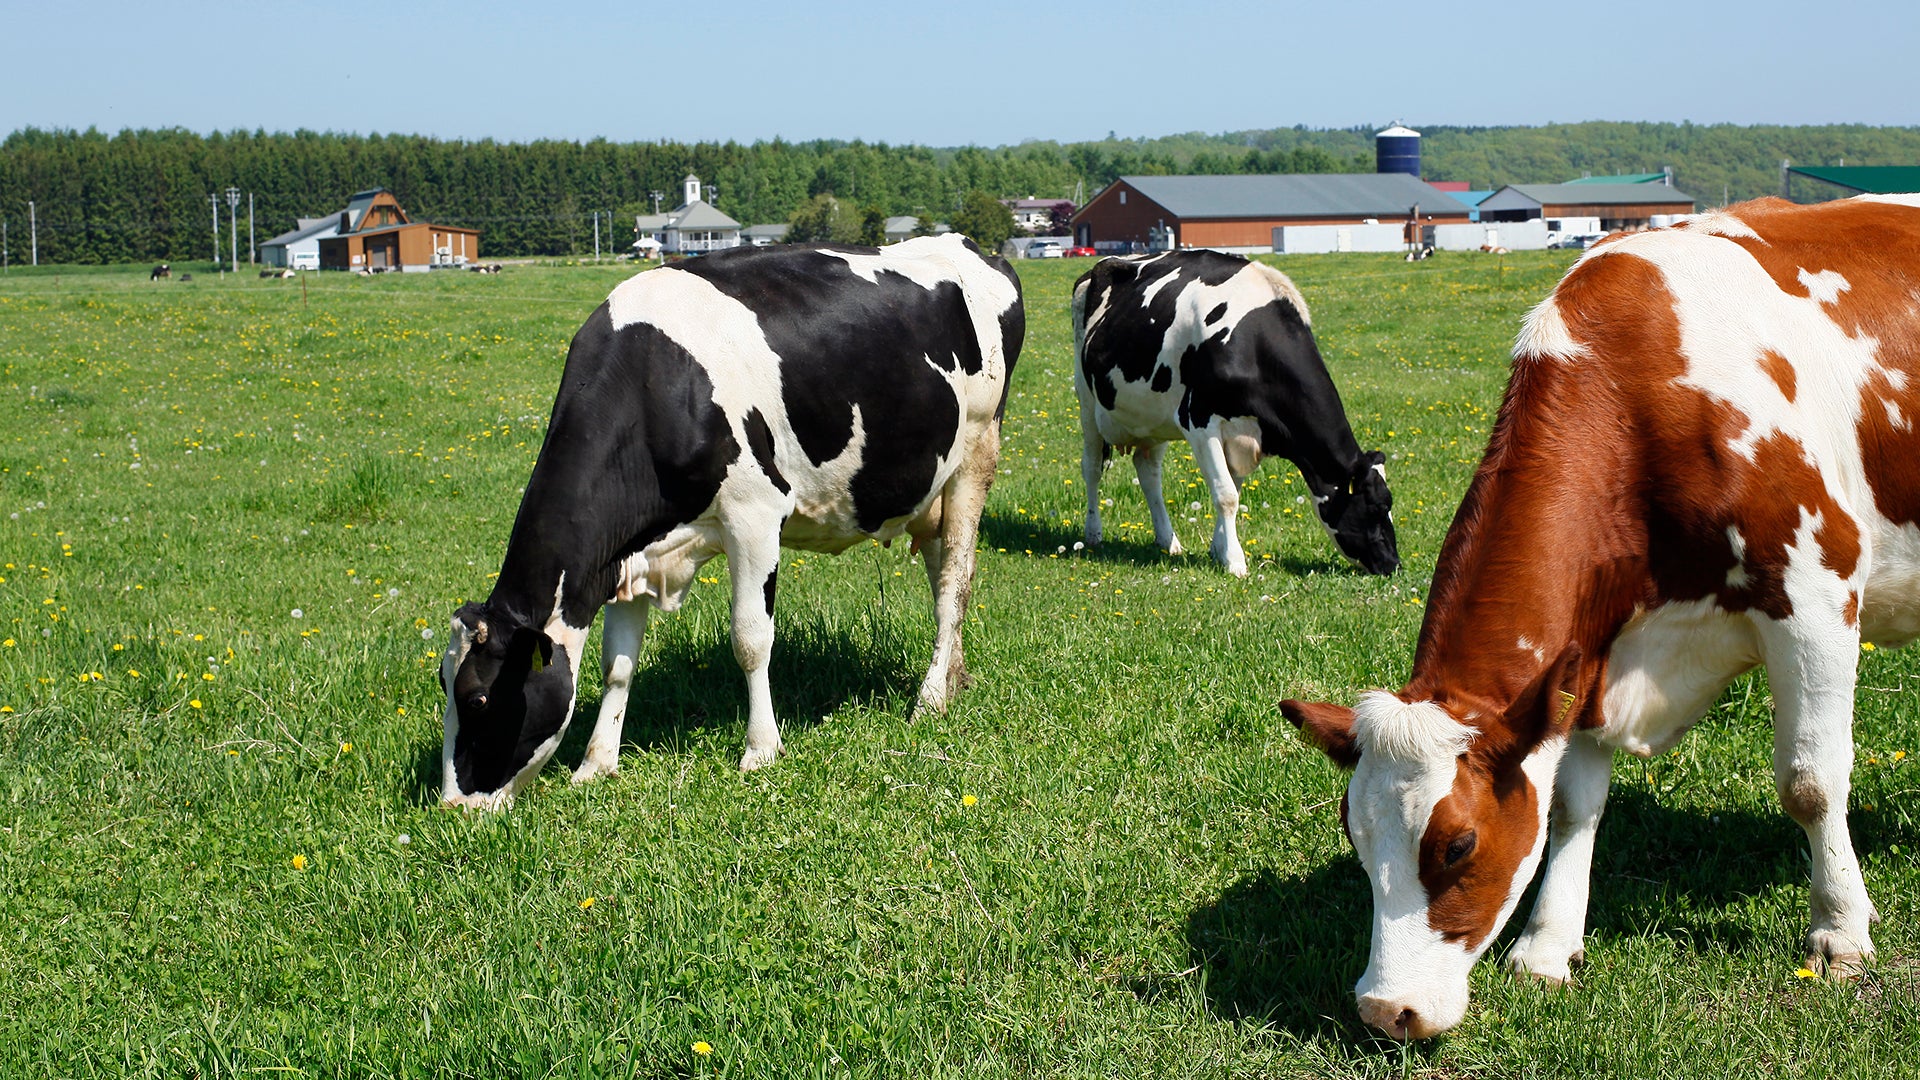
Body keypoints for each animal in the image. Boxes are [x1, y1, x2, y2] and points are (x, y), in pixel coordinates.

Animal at [439, 235, 1029, 807]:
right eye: (442, 687)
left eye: (479, 697)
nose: (451, 808)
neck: (655, 382)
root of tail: (977, 248)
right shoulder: (625, 554)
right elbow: (617, 663)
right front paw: (595, 764)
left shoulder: (755, 514)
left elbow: (751, 638)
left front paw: (761, 750)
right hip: (930, 487)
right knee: (943, 577)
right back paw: (952, 678)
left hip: (977, 453)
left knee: (956, 579)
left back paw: (929, 699)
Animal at [1067, 249, 1397, 572]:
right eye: (1377, 506)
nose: (1393, 564)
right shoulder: (1199, 422)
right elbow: (1225, 494)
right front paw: (1235, 561)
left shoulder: (1246, 436)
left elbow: (1232, 492)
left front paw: (1219, 550)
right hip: (1087, 402)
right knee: (1092, 468)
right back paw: (1093, 533)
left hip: (1152, 416)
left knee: (1149, 474)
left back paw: (1168, 540)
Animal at [1282, 193, 1920, 1037]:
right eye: (1355, 837)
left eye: (1458, 846)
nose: (1387, 1010)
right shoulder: (1588, 650)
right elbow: (1573, 804)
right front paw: (1549, 946)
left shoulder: (1816, 596)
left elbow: (1811, 782)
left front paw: (1841, 930)